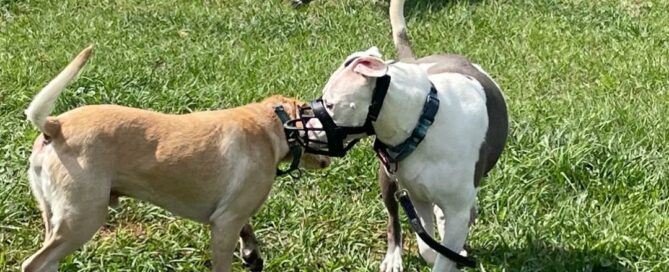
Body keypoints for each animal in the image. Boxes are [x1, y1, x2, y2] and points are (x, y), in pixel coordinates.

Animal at [22, 45, 330, 270]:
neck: (273, 125)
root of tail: (54, 126)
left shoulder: (235, 213)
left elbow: (248, 230)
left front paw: (252, 253)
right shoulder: (225, 223)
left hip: (55, 215)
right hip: (83, 217)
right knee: (34, 263)